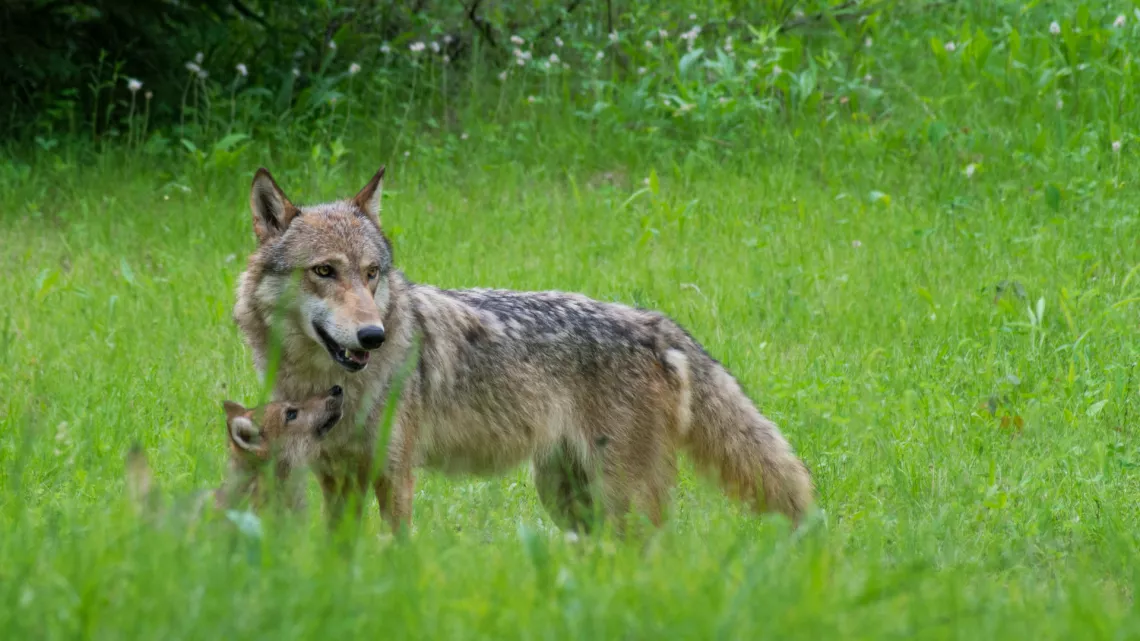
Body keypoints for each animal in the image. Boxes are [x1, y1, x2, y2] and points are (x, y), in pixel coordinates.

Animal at [232, 166, 814, 534]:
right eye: (324, 271)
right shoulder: (337, 480)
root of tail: (655, 323)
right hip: (567, 499)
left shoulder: (394, 476)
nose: (372, 335)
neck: (330, 385)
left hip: (618, 499)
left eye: (372, 273)